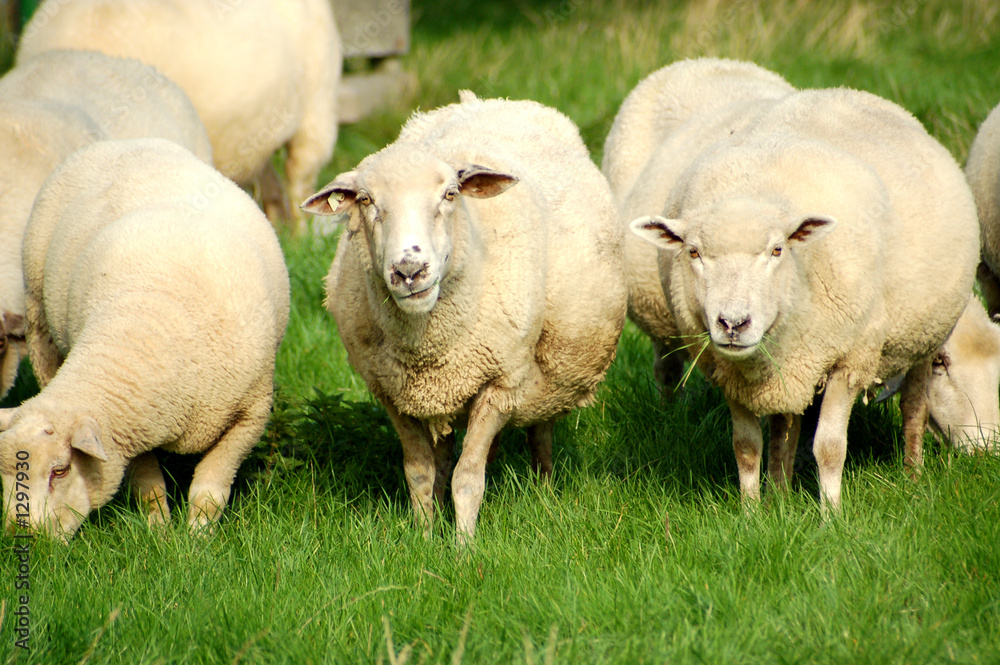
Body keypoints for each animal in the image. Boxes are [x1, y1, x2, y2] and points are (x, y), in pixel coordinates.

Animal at [0, 138, 290, 539]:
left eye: (61, 470)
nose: (19, 536)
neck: (142, 335)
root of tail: (120, 143)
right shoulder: (131, 429)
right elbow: (148, 487)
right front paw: (159, 533)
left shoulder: (249, 416)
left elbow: (210, 491)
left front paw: (199, 537)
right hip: (39, 320)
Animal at [301, 92, 627, 544]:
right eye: (366, 201)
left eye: (451, 194)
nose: (409, 270)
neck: (427, 340)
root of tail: (490, 99)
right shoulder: (393, 392)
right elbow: (419, 473)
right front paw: (423, 539)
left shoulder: (501, 382)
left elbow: (469, 477)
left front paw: (463, 546)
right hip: (443, 392)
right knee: (444, 451)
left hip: (549, 371)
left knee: (539, 432)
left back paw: (544, 491)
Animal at [629, 76, 980, 511]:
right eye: (693, 252)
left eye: (777, 250)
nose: (733, 323)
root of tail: (842, 90)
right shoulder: (728, 369)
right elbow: (747, 447)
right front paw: (751, 513)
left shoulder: (849, 358)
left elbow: (829, 448)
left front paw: (831, 515)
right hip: (799, 361)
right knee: (786, 423)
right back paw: (779, 492)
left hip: (923, 335)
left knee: (913, 405)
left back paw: (912, 476)